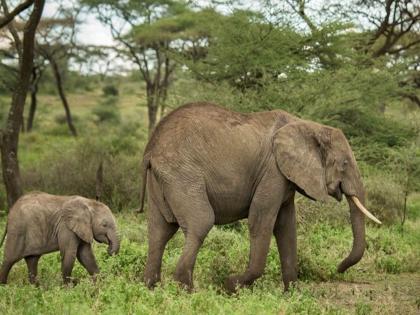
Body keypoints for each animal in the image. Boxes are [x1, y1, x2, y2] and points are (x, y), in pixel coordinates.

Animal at [139, 103, 382, 294]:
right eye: (344, 163)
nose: (338, 269)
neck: (309, 126)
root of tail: (150, 149)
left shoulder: (286, 177)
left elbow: (286, 227)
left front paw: (293, 295)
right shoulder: (272, 172)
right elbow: (261, 221)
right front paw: (230, 286)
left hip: (162, 180)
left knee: (159, 231)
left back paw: (151, 288)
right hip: (181, 174)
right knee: (201, 221)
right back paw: (187, 291)